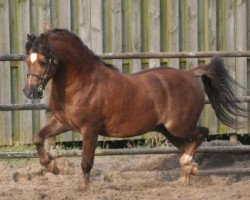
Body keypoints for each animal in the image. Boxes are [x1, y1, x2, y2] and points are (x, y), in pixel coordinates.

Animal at [22, 28, 247, 191]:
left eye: (43, 61)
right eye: (26, 60)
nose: (29, 92)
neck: (83, 83)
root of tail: (190, 74)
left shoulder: (90, 129)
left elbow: (86, 162)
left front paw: (82, 188)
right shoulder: (63, 123)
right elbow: (37, 137)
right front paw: (52, 166)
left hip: (179, 126)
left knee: (202, 133)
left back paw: (187, 167)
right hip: (167, 130)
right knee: (187, 146)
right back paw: (186, 175)